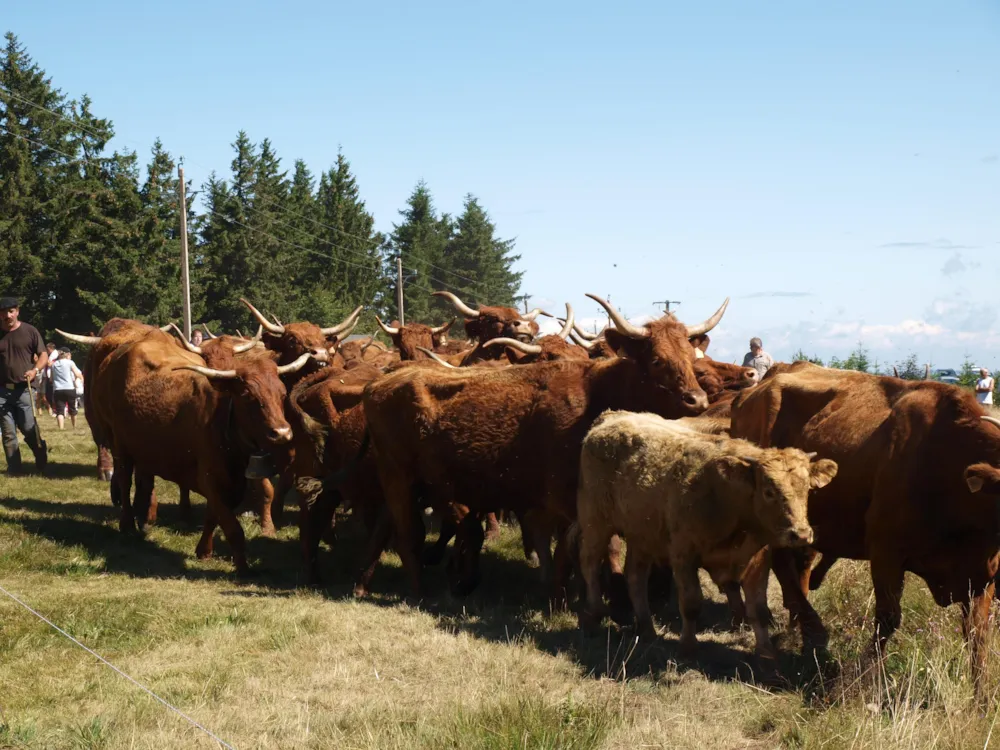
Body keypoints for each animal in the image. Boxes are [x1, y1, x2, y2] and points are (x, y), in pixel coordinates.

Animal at [356, 292, 724, 600]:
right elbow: (583, 548)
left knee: (392, 527)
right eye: (658, 360)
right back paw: (419, 592)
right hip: (398, 478)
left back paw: (368, 584)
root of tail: (382, 381)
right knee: (409, 533)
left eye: (690, 357)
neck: (597, 395)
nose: (697, 400)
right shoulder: (565, 496)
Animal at [576, 414, 832, 660]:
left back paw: (647, 629)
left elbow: (758, 609)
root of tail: (610, 417)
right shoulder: (683, 555)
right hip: (595, 521)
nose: (801, 534)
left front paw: (766, 653)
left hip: (641, 536)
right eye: (769, 492)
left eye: (807, 489)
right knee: (589, 563)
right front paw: (688, 647)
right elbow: (691, 603)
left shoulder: (758, 560)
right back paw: (593, 616)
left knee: (636, 578)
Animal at [728, 362, 1000, 696]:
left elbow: (978, 634)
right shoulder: (886, 553)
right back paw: (812, 630)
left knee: (795, 567)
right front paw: (865, 680)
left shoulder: (982, 575)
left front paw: (981, 699)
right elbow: (887, 620)